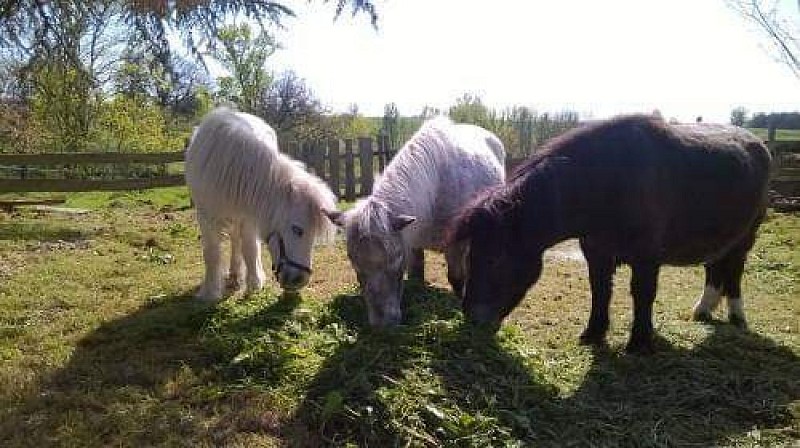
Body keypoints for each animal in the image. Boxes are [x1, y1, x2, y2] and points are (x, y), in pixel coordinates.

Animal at [186, 106, 336, 300]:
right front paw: (209, 292)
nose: (299, 280)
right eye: (297, 230)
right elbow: (211, 253)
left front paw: (254, 283)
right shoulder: (205, 216)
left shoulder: (249, 215)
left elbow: (249, 248)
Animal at [322, 115, 504, 326]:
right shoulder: (413, 241)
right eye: (352, 259)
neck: (435, 191)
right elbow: (417, 275)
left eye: (397, 257)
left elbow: (456, 278)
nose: (383, 325)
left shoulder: (456, 245)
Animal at [446, 115, 772, 354]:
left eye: (496, 258)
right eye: (471, 254)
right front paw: (593, 334)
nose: (472, 318)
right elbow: (600, 291)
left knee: (734, 271)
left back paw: (737, 316)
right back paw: (703, 311)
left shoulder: (646, 258)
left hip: (746, 236)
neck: (607, 182)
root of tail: (759, 143)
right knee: (714, 268)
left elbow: (642, 294)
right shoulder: (597, 253)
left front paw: (639, 343)